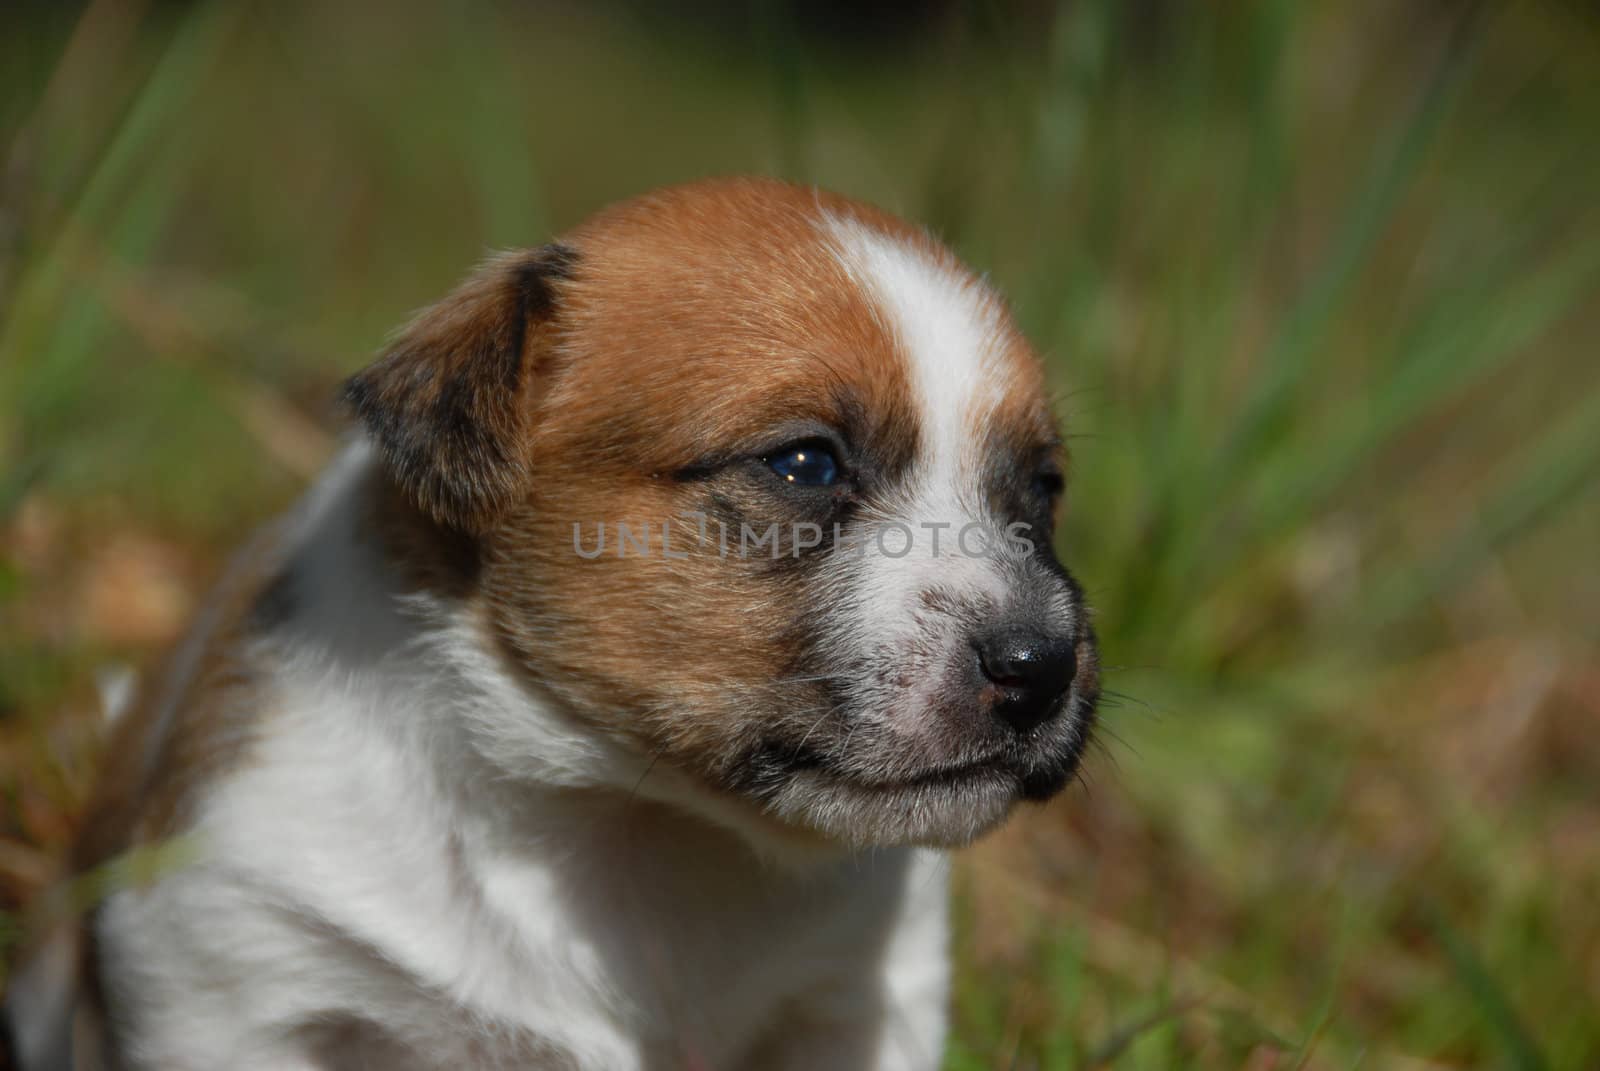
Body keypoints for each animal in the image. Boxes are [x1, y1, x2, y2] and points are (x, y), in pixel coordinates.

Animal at [3, 177, 1100, 1069]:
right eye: (805, 463)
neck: (640, 822)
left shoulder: (860, 1001)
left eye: (1041, 490)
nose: (1041, 667)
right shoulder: (232, 963)